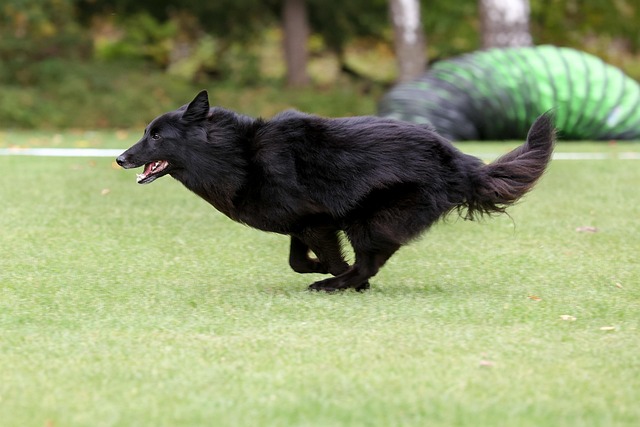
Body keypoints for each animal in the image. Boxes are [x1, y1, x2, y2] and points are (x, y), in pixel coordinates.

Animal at [116, 90, 556, 290]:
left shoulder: (319, 222)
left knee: (371, 258)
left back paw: (338, 284)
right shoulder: (304, 224)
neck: (238, 155)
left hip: (371, 217)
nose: (120, 158)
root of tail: (458, 160)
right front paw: (322, 268)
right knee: (377, 255)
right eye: (145, 132)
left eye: (157, 136)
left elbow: (325, 258)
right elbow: (297, 259)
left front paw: (334, 273)